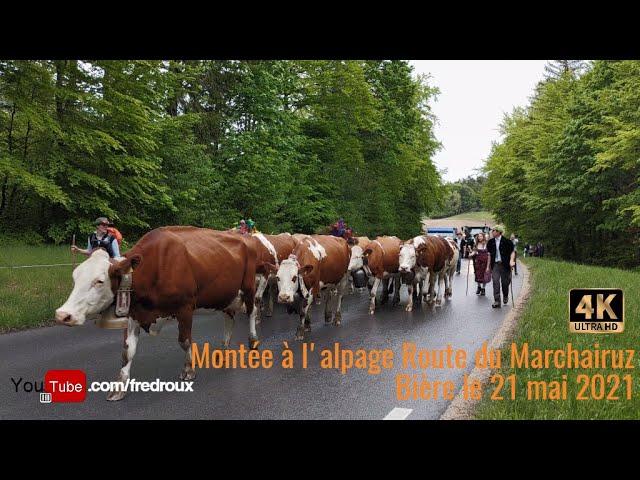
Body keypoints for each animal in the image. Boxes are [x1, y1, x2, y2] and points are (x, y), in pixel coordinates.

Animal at [55, 228, 260, 402]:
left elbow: (184, 341)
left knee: (252, 312)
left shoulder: (186, 307)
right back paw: (224, 348)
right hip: (227, 295)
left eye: (99, 281)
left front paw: (189, 370)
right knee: (229, 317)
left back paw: (252, 341)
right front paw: (119, 387)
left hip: (249, 287)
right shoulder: (134, 314)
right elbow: (127, 351)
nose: (63, 314)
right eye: (75, 277)